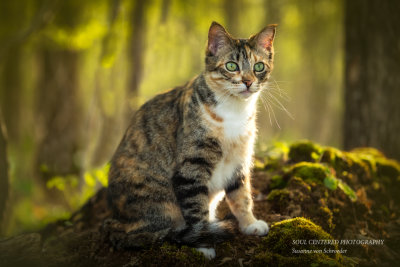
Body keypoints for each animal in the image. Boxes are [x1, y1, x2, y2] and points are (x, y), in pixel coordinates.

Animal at [104, 22, 276, 260]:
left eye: (259, 67)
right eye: (231, 66)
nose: (248, 81)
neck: (234, 113)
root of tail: (113, 220)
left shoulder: (240, 159)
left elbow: (241, 195)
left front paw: (249, 224)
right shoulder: (192, 166)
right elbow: (196, 208)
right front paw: (203, 243)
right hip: (159, 201)